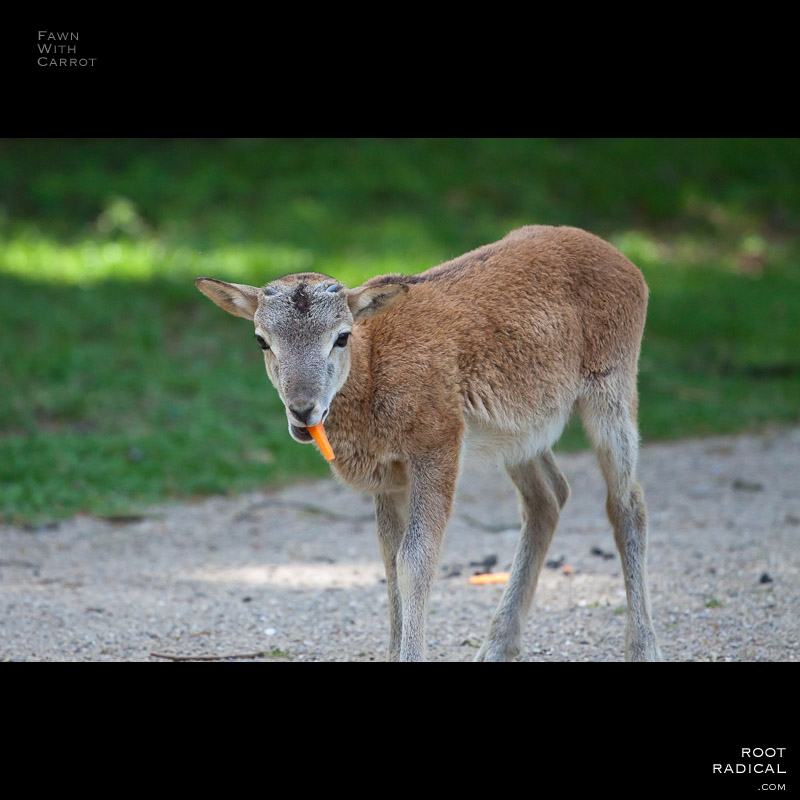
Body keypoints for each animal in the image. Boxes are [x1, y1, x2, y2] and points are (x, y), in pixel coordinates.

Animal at [195, 225, 663, 662]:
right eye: (262, 340)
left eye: (342, 336)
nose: (303, 411)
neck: (373, 372)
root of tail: (627, 263)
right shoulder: (390, 478)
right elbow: (389, 560)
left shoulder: (438, 446)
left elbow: (415, 560)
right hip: (520, 431)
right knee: (548, 497)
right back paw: (496, 646)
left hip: (612, 388)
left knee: (628, 504)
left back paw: (643, 647)